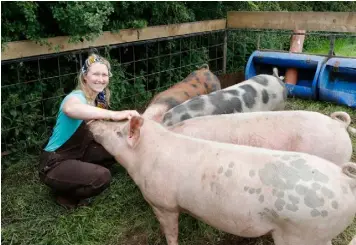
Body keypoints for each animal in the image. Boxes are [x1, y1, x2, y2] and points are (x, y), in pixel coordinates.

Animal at [87, 116, 356, 245]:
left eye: (118, 132)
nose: (91, 121)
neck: (144, 157)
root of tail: (344, 179)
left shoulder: (162, 203)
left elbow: (170, 231)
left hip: (305, 234)